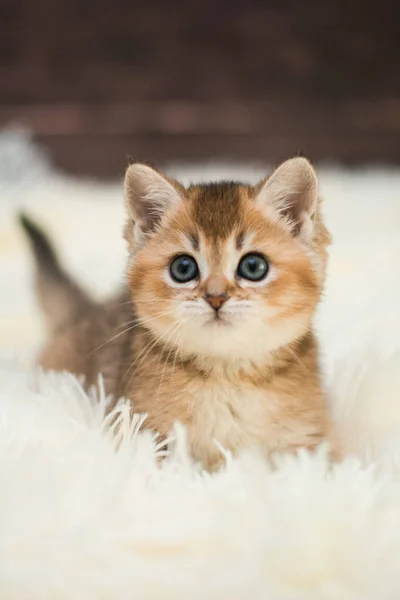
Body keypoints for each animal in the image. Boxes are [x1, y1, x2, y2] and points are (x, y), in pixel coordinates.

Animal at [21, 157, 338, 466]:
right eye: (183, 268)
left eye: (253, 266)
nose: (216, 298)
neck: (227, 376)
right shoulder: (142, 431)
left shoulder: (306, 443)